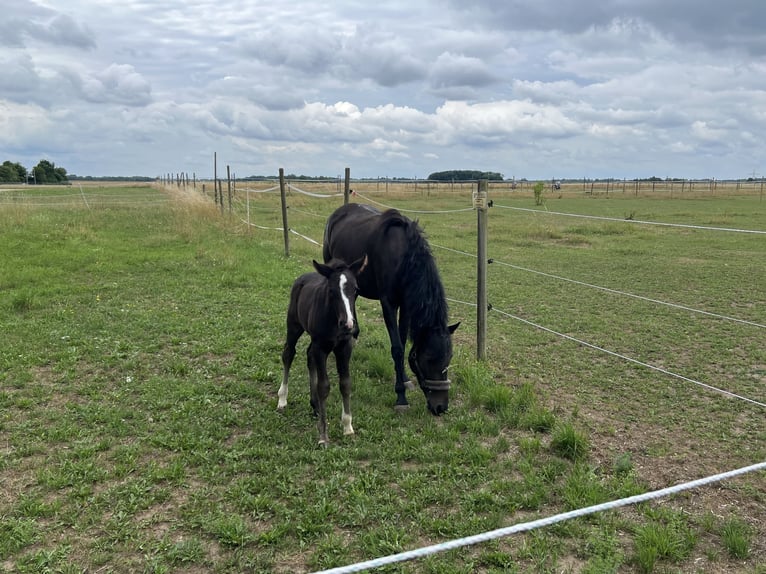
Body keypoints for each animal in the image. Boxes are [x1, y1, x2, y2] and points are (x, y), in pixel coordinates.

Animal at [278, 256, 367, 446]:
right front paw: (323, 435)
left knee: (308, 356)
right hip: (294, 325)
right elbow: (323, 386)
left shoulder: (344, 348)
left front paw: (348, 427)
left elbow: (345, 384)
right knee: (288, 354)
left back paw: (315, 406)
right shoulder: (321, 348)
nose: (348, 324)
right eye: (331, 290)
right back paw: (282, 399)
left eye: (356, 289)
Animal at [323, 203, 459, 415]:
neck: (403, 257)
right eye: (429, 359)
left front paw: (405, 379)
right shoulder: (388, 303)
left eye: (449, 357)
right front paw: (401, 396)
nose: (440, 407)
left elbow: (402, 343)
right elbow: (396, 348)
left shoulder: (406, 305)